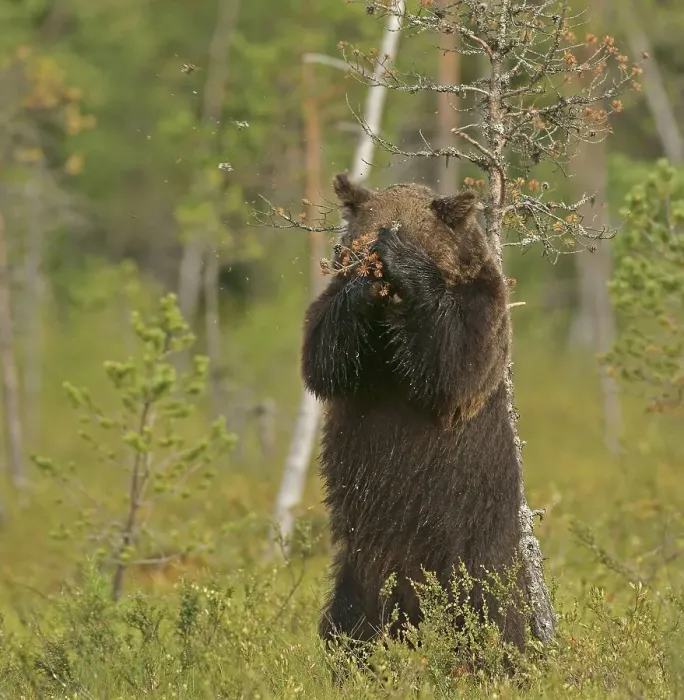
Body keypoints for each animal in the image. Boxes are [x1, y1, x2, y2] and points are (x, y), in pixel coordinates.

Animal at [301, 173, 527, 655]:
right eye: (358, 240)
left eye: (407, 231)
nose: (373, 260)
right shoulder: (343, 334)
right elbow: (324, 356)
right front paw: (361, 286)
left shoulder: (482, 304)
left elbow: (457, 361)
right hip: (364, 560)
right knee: (351, 617)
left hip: (472, 540)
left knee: (494, 613)